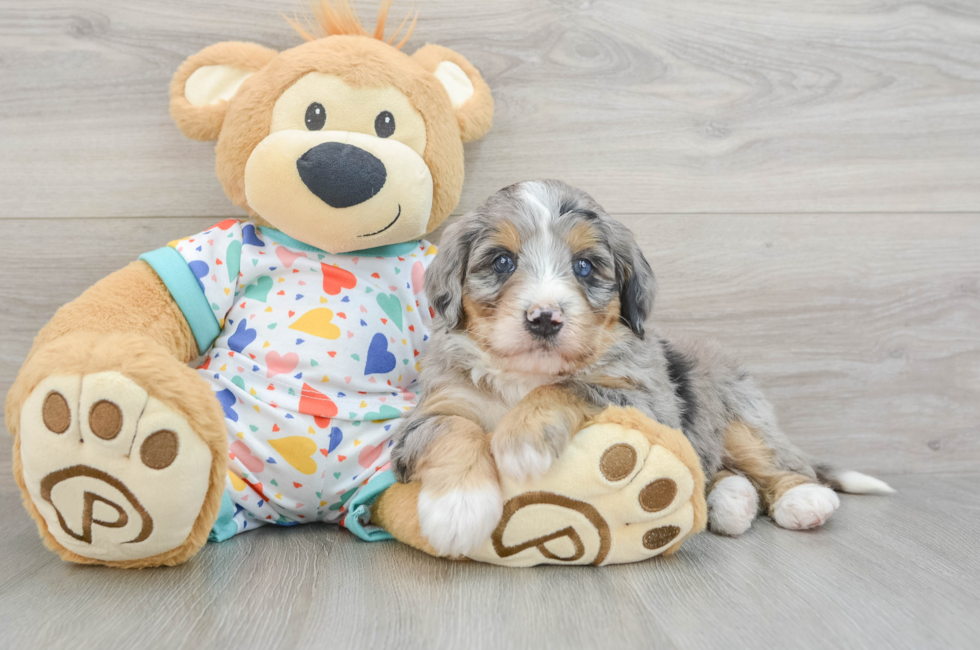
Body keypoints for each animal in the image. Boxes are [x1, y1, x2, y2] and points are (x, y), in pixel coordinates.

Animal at [392, 180, 896, 556]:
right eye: (502, 261)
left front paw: (522, 441)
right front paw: (458, 510)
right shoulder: (435, 406)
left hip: (734, 408)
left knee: (774, 459)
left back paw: (802, 498)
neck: (526, 375)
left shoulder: (647, 401)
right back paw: (732, 503)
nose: (544, 318)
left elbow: (568, 387)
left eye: (584, 267)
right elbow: (453, 430)